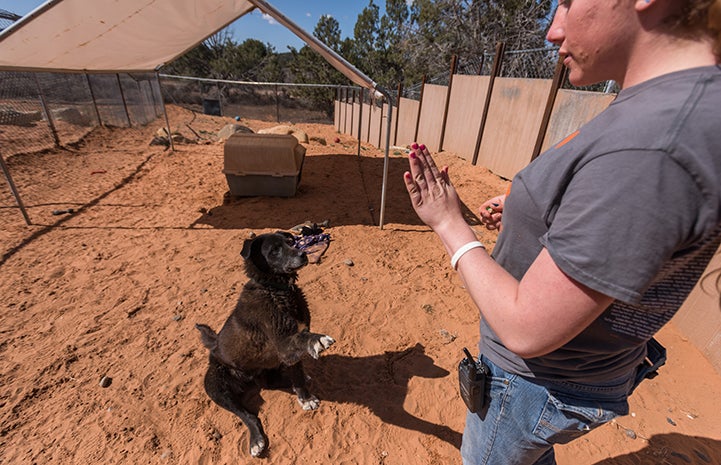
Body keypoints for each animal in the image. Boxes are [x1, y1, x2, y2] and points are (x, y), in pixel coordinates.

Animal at [194, 230, 334, 454]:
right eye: (274, 250)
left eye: (291, 241)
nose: (303, 254)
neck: (276, 290)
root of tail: (213, 347)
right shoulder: (284, 345)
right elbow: (302, 340)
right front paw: (318, 340)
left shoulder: (288, 352)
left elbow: (297, 375)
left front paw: (305, 397)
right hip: (215, 386)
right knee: (247, 414)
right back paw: (256, 440)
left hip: (270, 365)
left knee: (273, 381)